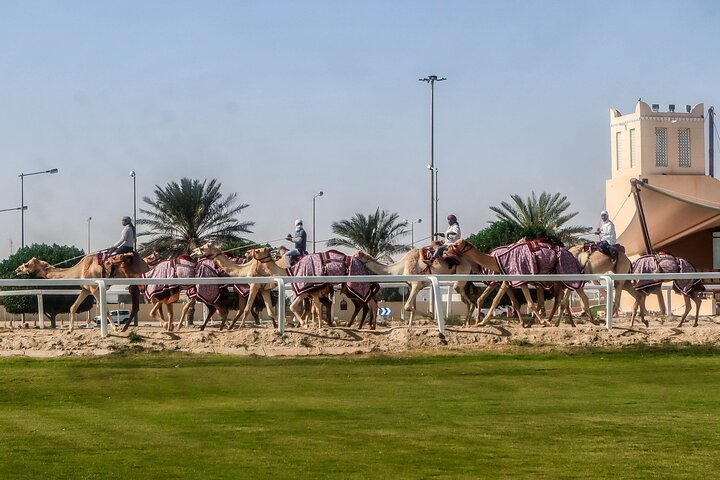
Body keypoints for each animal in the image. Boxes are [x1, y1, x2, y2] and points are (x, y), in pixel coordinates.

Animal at [16, 253, 150, 332]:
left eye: (27, 264)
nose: (17, 269)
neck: (79, 270)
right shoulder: (86, 289)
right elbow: (73, 307)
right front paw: (70, 329)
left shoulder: (95, 288)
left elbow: (105, 309)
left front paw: (114, 327)